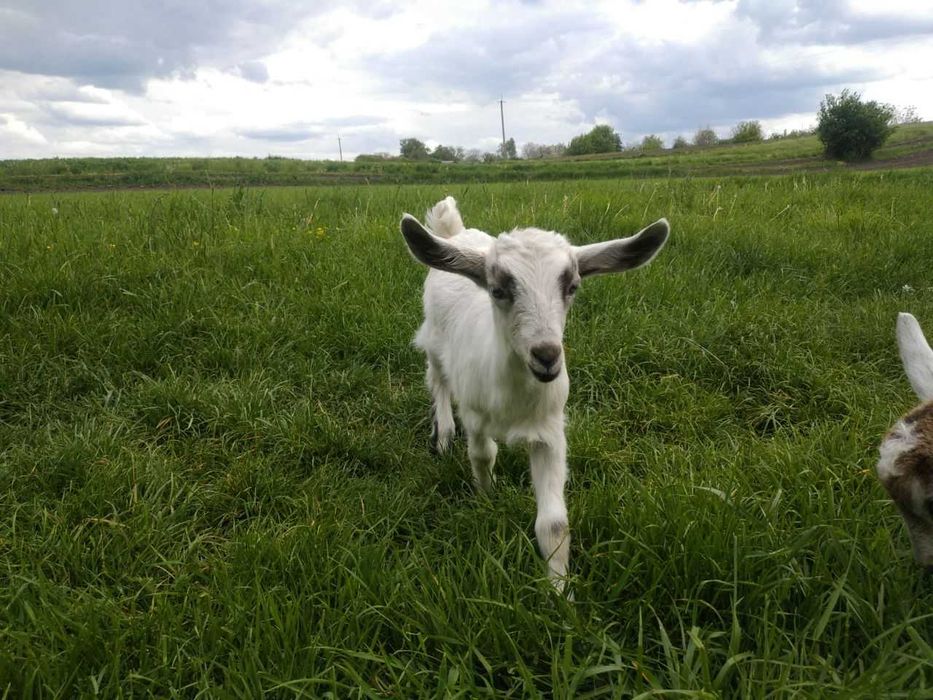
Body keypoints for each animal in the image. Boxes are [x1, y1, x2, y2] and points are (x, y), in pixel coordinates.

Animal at [400, 196, 669, 590]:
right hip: (433, 340)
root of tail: (456, 233)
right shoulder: (475, 415)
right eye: (498, 289)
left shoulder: (550, 430)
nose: (547, 355)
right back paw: (444, 435)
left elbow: (554, 524)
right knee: (437, 381)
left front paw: (559, 592)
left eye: (572, 287)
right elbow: (483, 455)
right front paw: (487, 497)